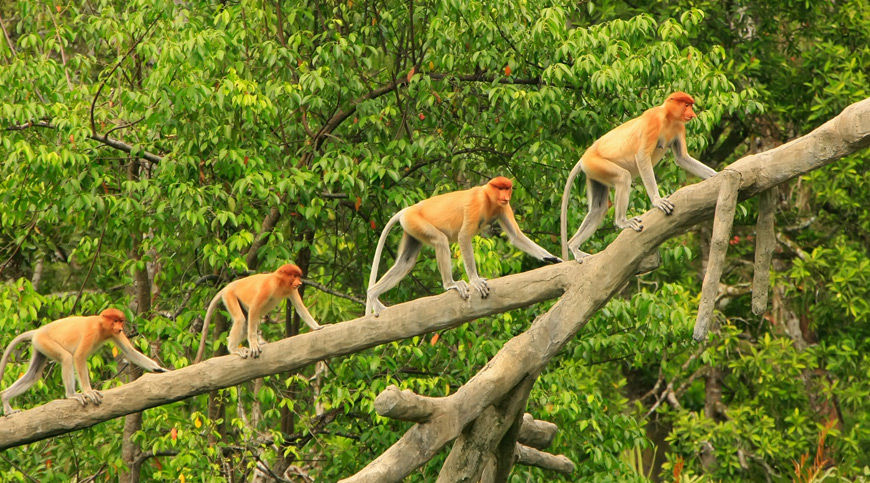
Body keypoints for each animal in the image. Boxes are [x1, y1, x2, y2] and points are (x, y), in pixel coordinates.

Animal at [0, 310, 169, 416]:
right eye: (115, 321)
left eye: (121, 321)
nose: (121, 327)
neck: (101, 326)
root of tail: (39, 331)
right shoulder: (91, 331)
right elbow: (79, 356)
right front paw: (88, 391)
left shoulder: (114, 334)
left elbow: (130, 352)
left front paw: (161, 370)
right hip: (45, 341)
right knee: (67, 358)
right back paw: (72, 395)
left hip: (39, 345)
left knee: (33, 375)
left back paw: (6, 401)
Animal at [194, 264, 324, 364]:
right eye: (294, 276)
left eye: (298, 276)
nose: (300, 282)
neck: (279, 282)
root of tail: (228, 286)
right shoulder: (268, 287)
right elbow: (255, 307)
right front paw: (254, 344)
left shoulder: (291, 289)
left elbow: (300, 308)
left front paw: (318, 327)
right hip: (230, 295)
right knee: (241, 320)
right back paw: (234, 349)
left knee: (245, 323)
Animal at [368, 176, 564, 320]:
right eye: (500, 188)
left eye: (507, 188)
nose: (506, 195)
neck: (488, 198)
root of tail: (408, 209)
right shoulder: (476, 202)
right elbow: (463, 236)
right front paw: (475, 281)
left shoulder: (503, 207)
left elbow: (516, 236)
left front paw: (552, 258)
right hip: (415, 221)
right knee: (440, 240)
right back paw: (451, 284)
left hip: (411, 228)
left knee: (406, 263)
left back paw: (372, 295)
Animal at [564, 92, 720, 262]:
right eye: (686, 105)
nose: (692, 114)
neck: (668, 117)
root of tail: (584, 157)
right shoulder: (653, 121)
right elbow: (642, 157)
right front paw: (658, 201)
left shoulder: (679, 126)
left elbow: (682, 158)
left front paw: (717, 175)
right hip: (596, 163)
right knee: (623, 177)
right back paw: (622, 222)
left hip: (593, 173)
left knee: (599, 208)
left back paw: (574, 246)